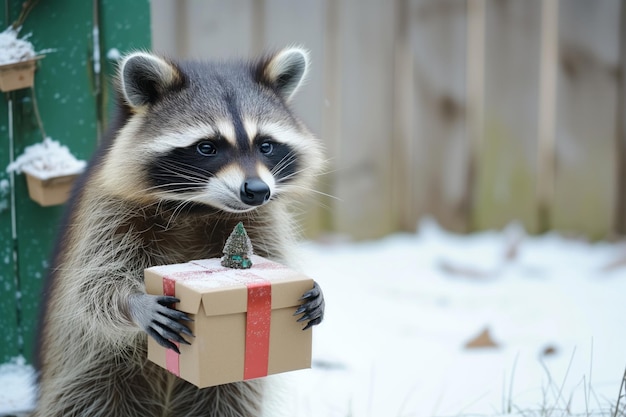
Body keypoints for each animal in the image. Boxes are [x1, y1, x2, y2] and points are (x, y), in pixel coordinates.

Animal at [33, 48, 326, 416]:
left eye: (266, 145)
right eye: (207, 147)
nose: (257, 191)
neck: (199, 206)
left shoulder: (261, 217)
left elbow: (270, 254)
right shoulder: (107, 213)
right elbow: (91, 285)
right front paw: (133, 300)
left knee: (229, 398)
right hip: (89, 373)